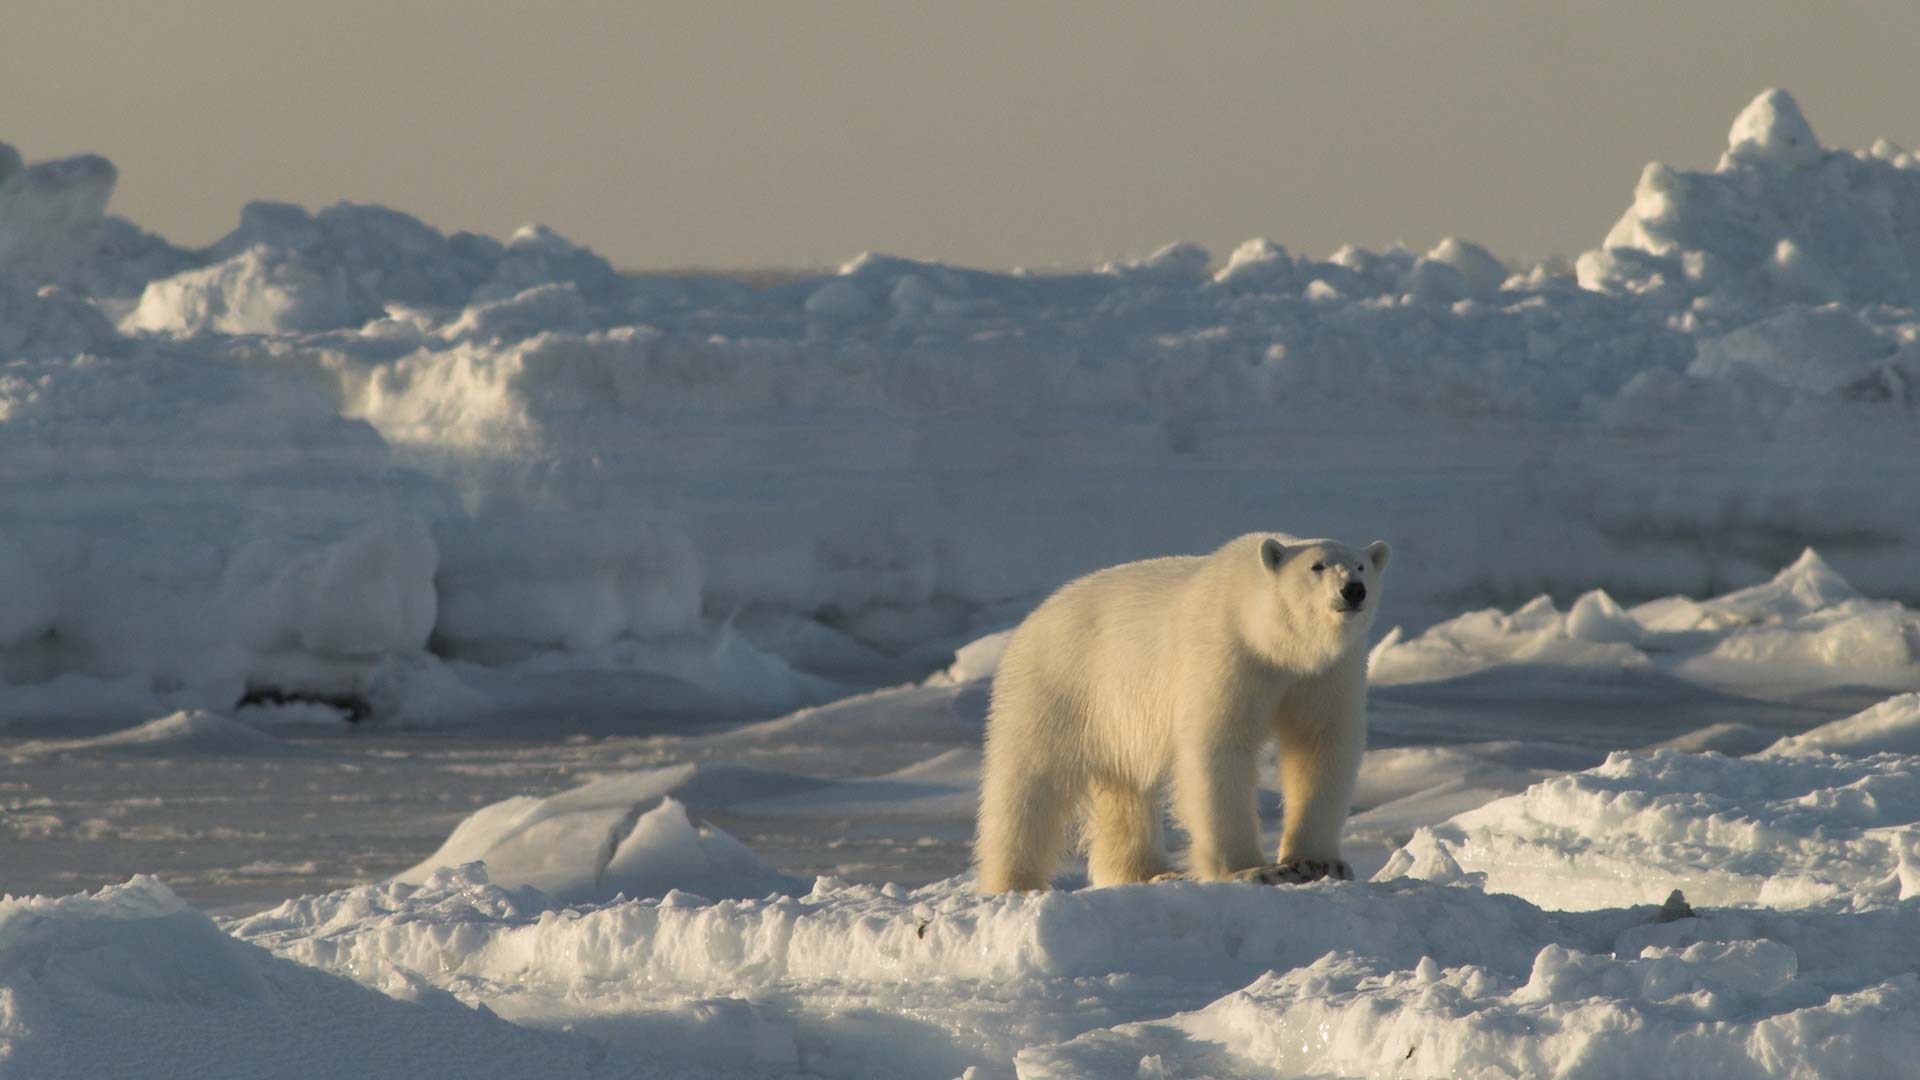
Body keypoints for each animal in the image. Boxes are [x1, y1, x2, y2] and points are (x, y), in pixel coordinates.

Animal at [975, 530, 1382, 891]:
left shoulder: (1324, 674)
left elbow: (1320, 745)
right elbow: (1219, 749)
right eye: (1317, 566)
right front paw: (1254, 870)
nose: (1352, 590)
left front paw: (1318, 862)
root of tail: (1031, 620)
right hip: (1058, 686)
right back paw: (1015, 882)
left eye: (1361, 566)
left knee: (1124, 791)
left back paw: (1149, 872)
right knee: (1028, 785)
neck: (1275, 644)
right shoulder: (1225, 652)